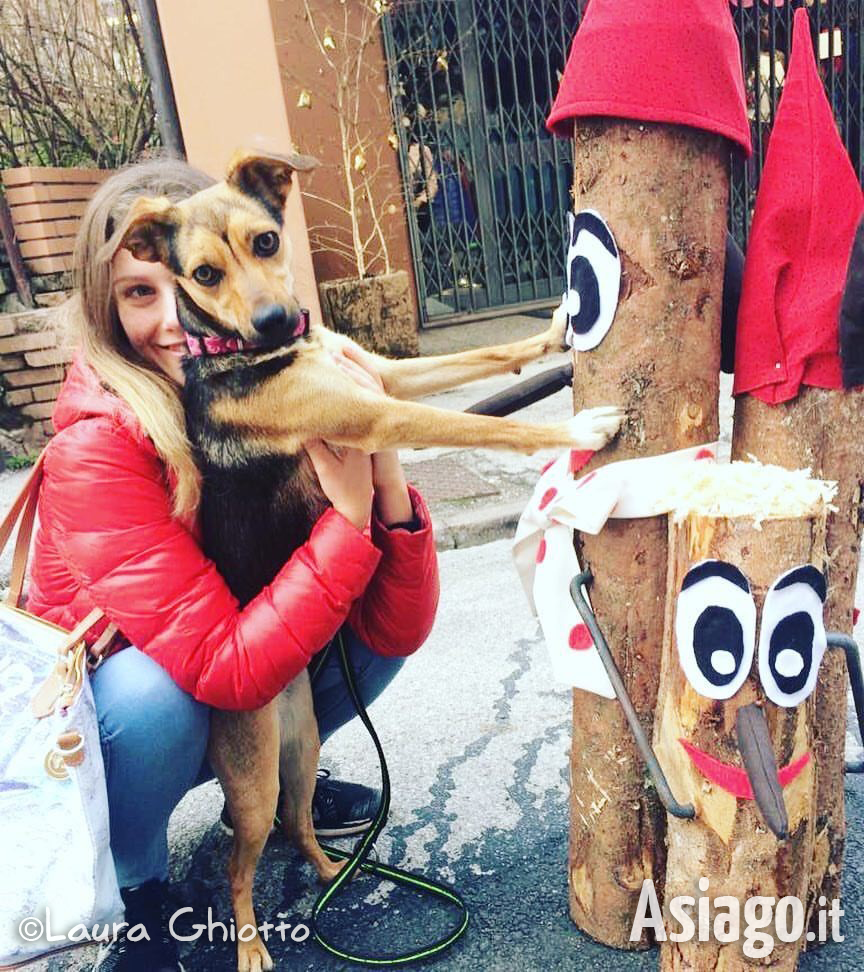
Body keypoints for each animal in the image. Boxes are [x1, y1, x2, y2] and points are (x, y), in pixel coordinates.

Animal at [106, 154, 620, 972]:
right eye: (204, 274)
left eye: (266, 241)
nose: (276, 321)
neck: (250, 354)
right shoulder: (375, 410)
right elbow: (471, 424)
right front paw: (577, 428)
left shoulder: (378, 373)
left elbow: (478, 359)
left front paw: (551, 339)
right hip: (251, 778)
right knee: (240, 865)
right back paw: (252, 945)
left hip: (304, 745)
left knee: (298, 824)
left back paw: (330, 874)